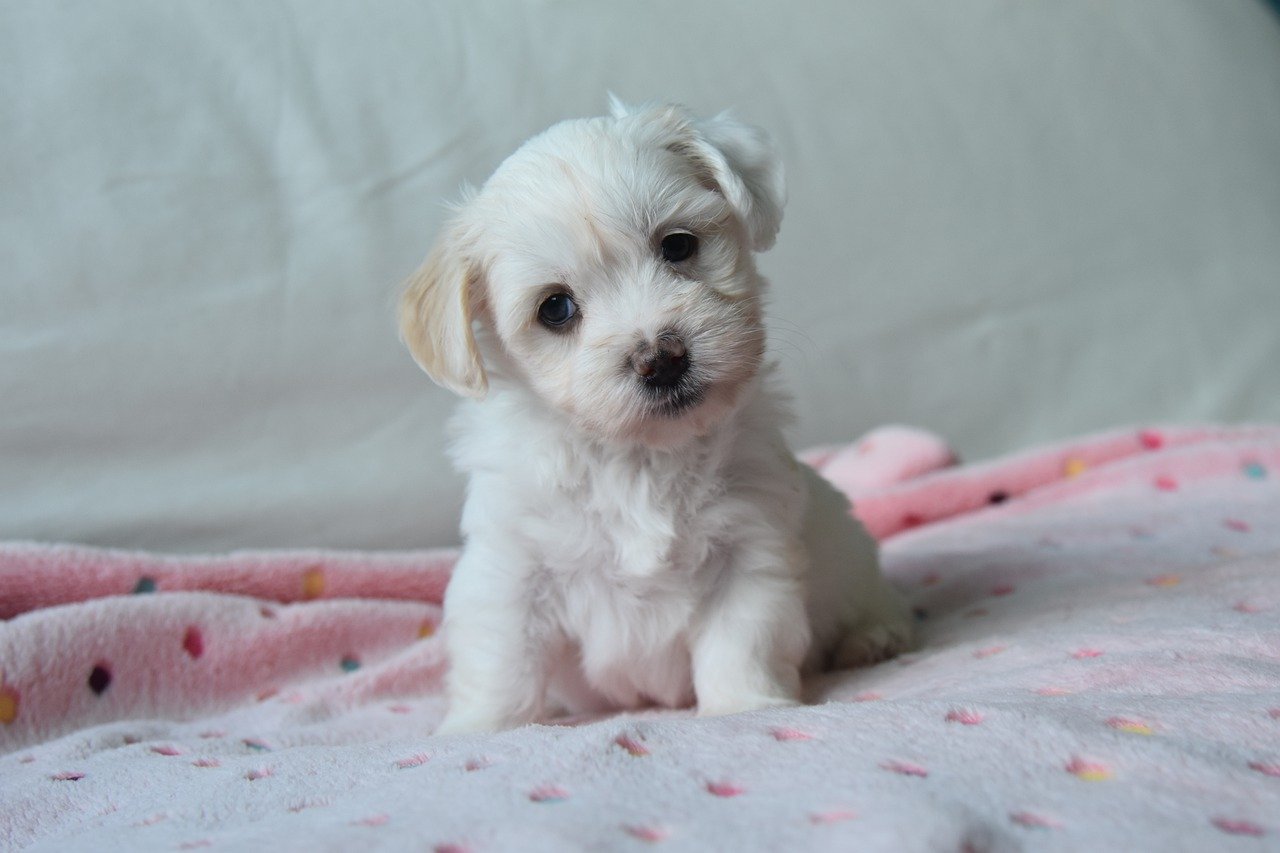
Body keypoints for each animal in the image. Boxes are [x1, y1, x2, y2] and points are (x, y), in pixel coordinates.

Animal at [399, 96, 911, 727]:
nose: (661, 359)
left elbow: (741, 639)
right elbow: (501, 659)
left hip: (855, 558)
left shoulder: (750, 545)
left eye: (678, 246)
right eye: (556, 308)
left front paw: (745, 708)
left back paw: (874, 637)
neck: (639, 457)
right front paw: (484, 729)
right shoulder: (511, 566)